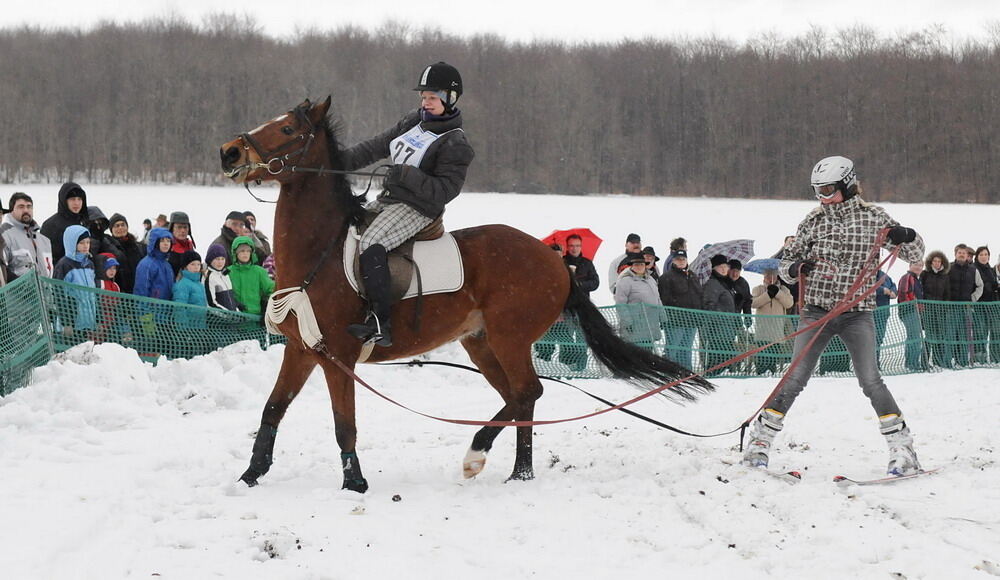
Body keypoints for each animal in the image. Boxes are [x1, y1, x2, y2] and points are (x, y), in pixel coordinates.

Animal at [219, 97, 712, 492]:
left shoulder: (338, 355)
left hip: (509, 337)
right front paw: (250, 476)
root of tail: (555, 259)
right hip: (481, 342)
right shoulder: (302, 351)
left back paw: (483, 456)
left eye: (288, 129)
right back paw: (517, 471)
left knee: (527, 391)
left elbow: (345, 426)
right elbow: (271, 411)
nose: (230, 152)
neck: (318, 255)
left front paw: (354, 483)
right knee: (521, 396)